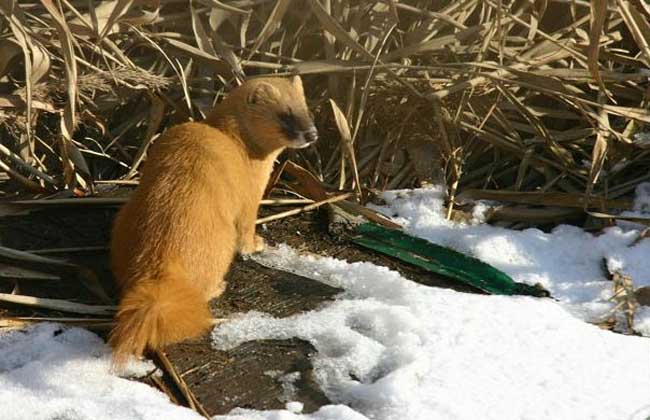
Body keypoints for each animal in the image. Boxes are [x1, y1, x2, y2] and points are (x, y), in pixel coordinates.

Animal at [109, 76, 316, 364]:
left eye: (307, 109)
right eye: (285, 114)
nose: (312, 134)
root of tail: (161, 260)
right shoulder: (250, 194)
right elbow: (247, 227)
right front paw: (257, 243)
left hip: (123, 221)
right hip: (221, 243)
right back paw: (219, 286)